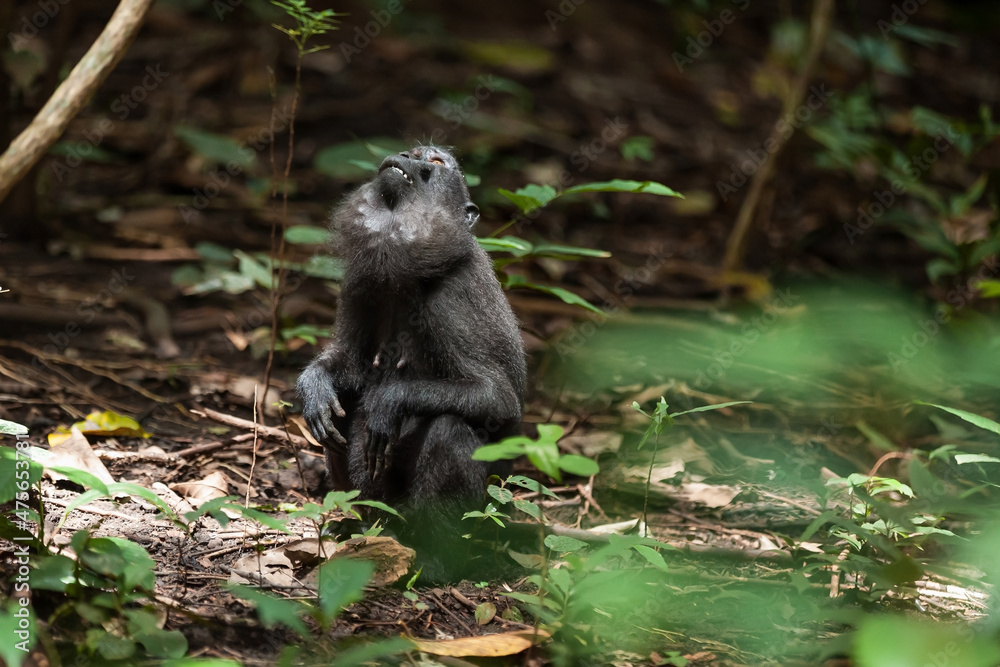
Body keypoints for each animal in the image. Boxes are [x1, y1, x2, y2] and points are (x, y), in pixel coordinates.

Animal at [296, 146, 526, 569]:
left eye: (434, 162)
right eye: (415, 152)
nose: (404, 155)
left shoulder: (452, 296)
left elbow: (498, 399)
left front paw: (390, 402)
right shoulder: (360, 279)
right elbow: (350, 364)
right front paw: (314, 387)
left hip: (488, 505)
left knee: (451, 429)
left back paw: (436, 562)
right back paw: (358, 527)